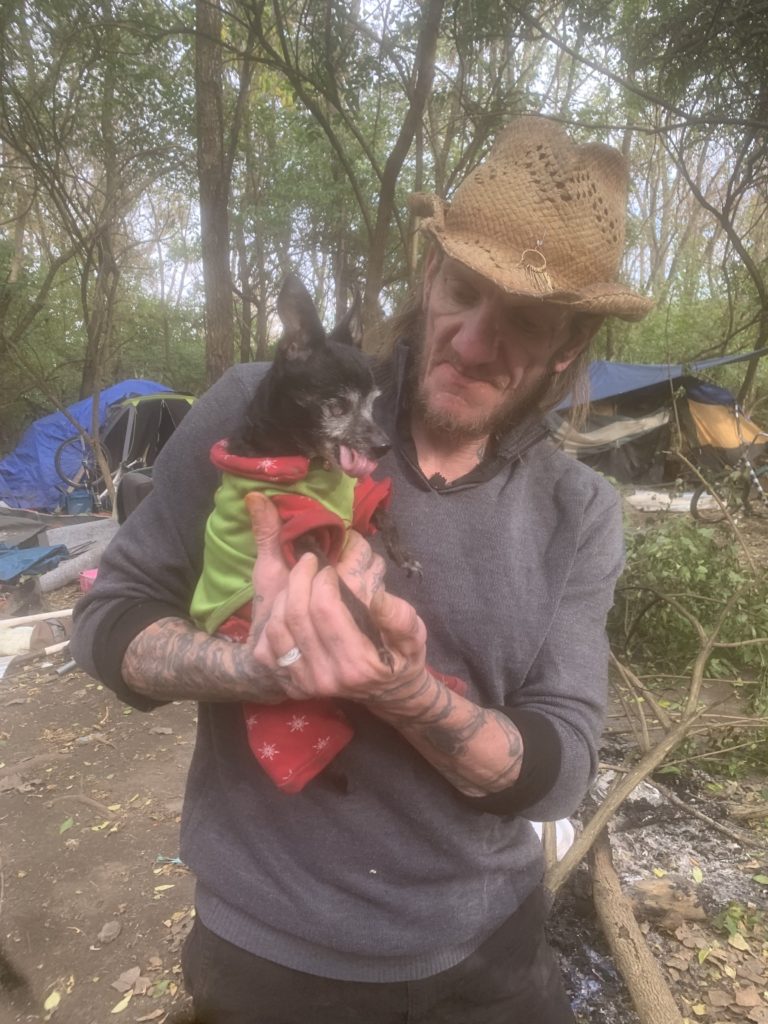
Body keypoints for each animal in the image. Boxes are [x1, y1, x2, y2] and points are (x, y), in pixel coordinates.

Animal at [228, 274, 421, 663]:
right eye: (337, 407)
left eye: (373, 403)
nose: (384, 446)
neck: (312, 460)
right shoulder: (302, 534)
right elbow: (346, 593)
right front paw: (376, 637)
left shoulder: (358, 501)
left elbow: (386, 515)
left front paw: (403, 555)